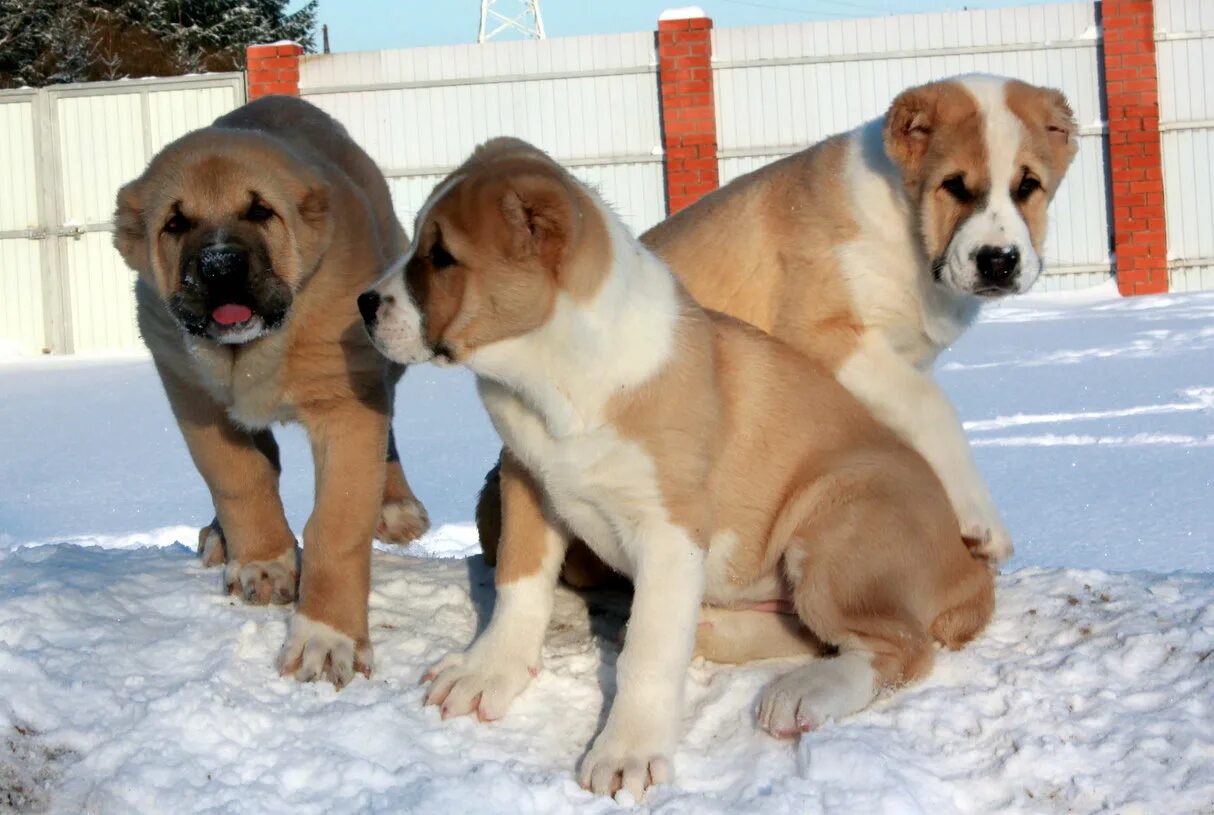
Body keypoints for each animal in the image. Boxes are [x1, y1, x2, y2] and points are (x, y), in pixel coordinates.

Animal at [110, 94, 432, 689]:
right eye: (175, 223)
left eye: (261, 212)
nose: (219, 266)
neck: (257, 349)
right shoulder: (192, 397)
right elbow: (239, 479)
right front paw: (263, 561)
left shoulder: (346, 405)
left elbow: (337, 526)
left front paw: (326, 639)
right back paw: (222, 537)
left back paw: (396, 505)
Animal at [359, 138, 995, 796]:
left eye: (441, 257)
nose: (363, 305)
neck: (557, 376)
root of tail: (969, 571)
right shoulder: (527, 483)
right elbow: (519, 587)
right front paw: (487, 672)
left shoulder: (669, 529)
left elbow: (649, 650)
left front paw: (627, 750)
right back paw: (717, 632)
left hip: (835, 523)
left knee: (900, 646)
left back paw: (804, 693)